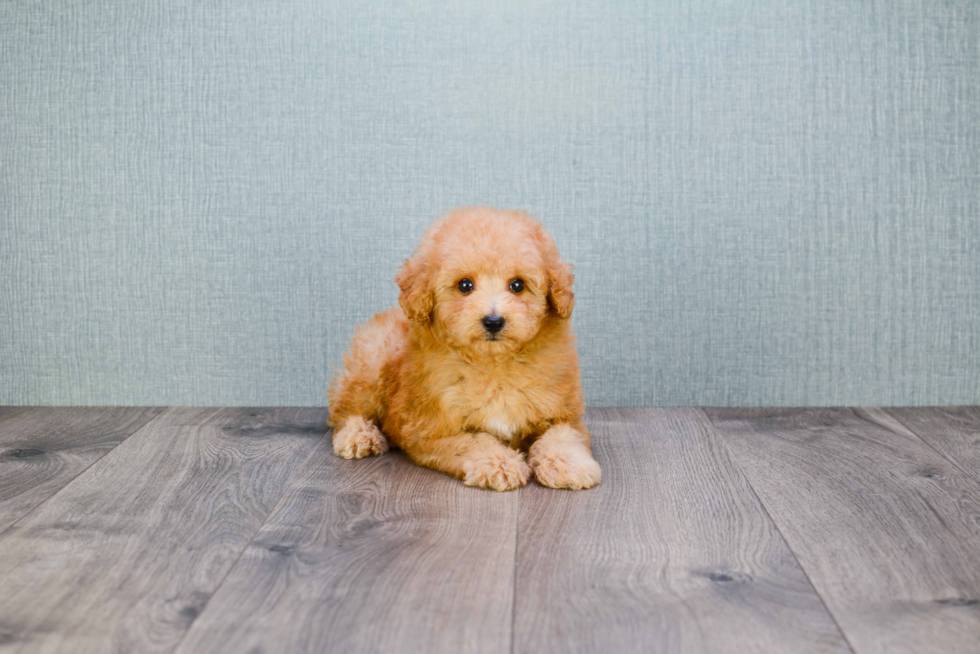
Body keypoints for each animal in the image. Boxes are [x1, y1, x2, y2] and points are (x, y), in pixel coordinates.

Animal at [328, 206, 596, 492]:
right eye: (465, 285)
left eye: (518, 285)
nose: (493, 321)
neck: (494, 364)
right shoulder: (433, 430)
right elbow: (474, 442)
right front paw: (499, 464)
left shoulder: (563, 412)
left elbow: (563, 435)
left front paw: (567, 463)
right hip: (371, 361)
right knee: (346, 409)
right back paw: (358, 436)